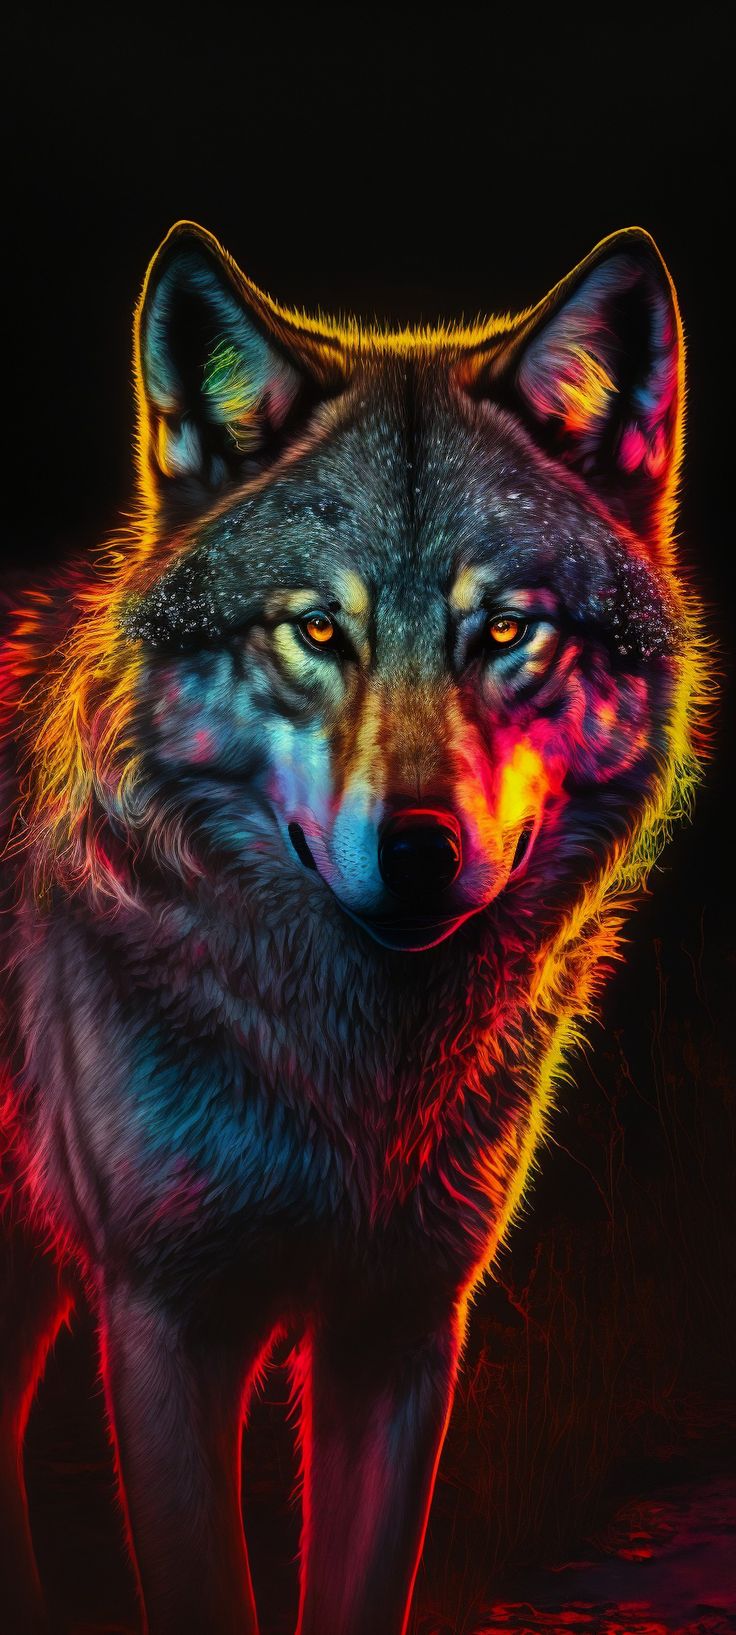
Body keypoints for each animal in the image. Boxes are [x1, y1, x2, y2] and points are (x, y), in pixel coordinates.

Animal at [0, 220, 709, 1635]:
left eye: (505, 629)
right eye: (318, 629)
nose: (418, 851)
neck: (357, 1078)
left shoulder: (403, 1328)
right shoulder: (165, 1322)